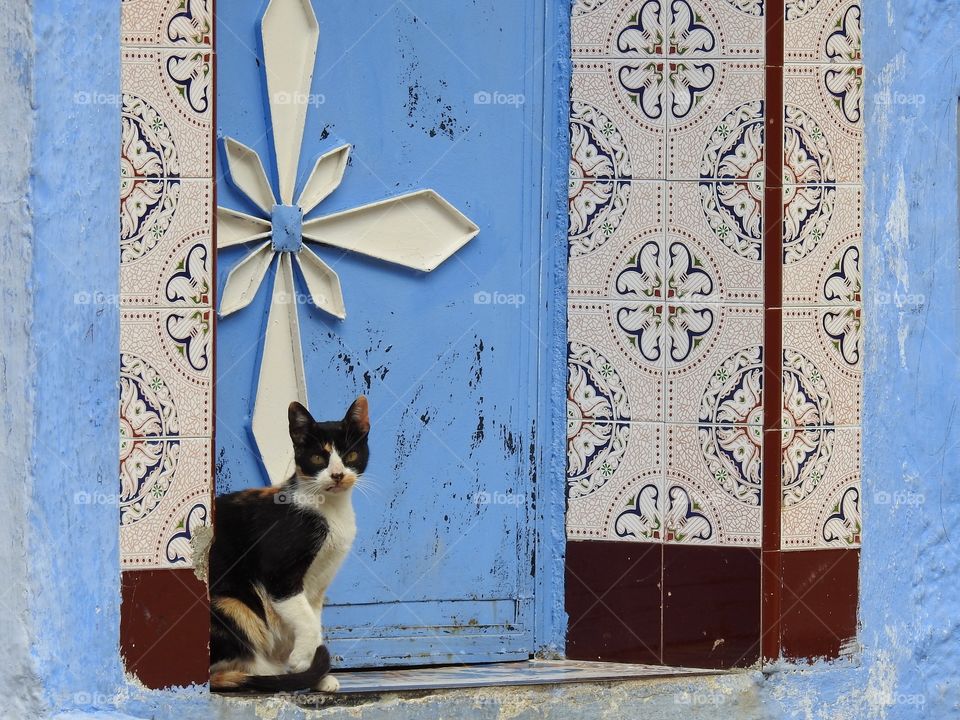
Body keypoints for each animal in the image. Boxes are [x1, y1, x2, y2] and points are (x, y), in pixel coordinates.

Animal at [208, 394, 370, 692]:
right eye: (318, 457)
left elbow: (313, 619)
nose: (338, 474)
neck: (330, 510)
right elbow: (306, 620)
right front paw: (302, 663)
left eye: (351, 455)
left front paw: (316, 673)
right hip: (231, 603)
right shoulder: (279, 575)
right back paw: (270, 671)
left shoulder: (318, 584)